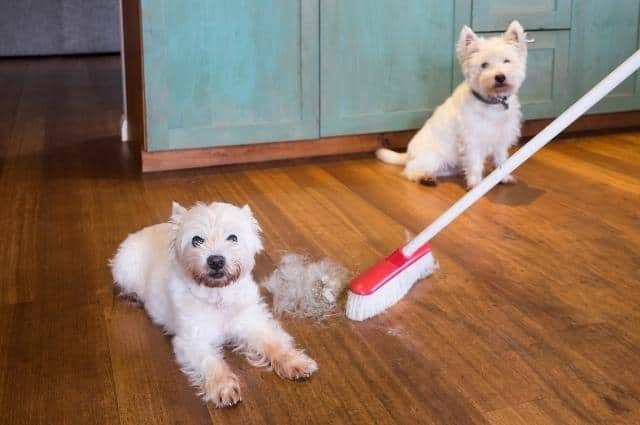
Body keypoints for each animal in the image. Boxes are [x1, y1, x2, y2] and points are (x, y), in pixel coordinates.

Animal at [112, 202, 320, 408]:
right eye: (196, 240)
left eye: (233, 237)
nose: (216, 260)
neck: (219, 296)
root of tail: (140, 232)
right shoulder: (192, 340)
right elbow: (210, 362)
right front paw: (223, 387)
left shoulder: (252, 323)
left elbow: (273, 343)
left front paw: (295, 362)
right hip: (126, 271)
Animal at [378, 19, 528, 189]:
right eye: (484, 65)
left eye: (506, 61)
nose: (500, 77)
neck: (493, 103)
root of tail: (408, 154)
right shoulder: (472, 140)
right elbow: (475, 163)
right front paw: (476, 184)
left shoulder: (501, 138)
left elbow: (502, 159)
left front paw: (504, 177)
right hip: (433, 158)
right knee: (410, 169)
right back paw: (424, 178)